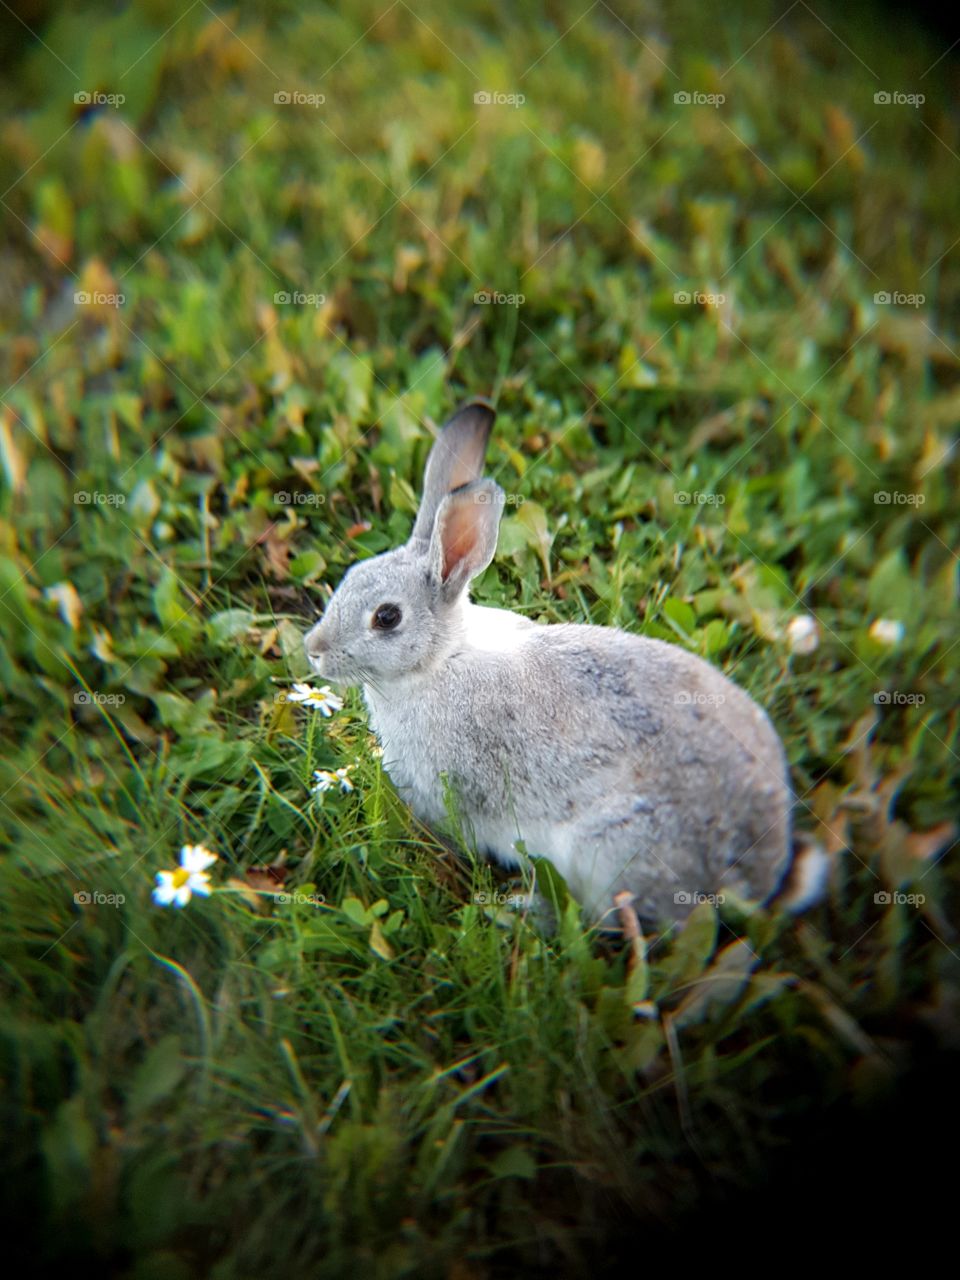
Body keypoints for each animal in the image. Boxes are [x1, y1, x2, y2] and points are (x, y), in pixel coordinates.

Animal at [303, 400, 827, 928]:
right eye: (350, 576)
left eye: (387, 617)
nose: (314, 648)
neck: (439, 659)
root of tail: (760, 870)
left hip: (610, 850)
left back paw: (522, 910)